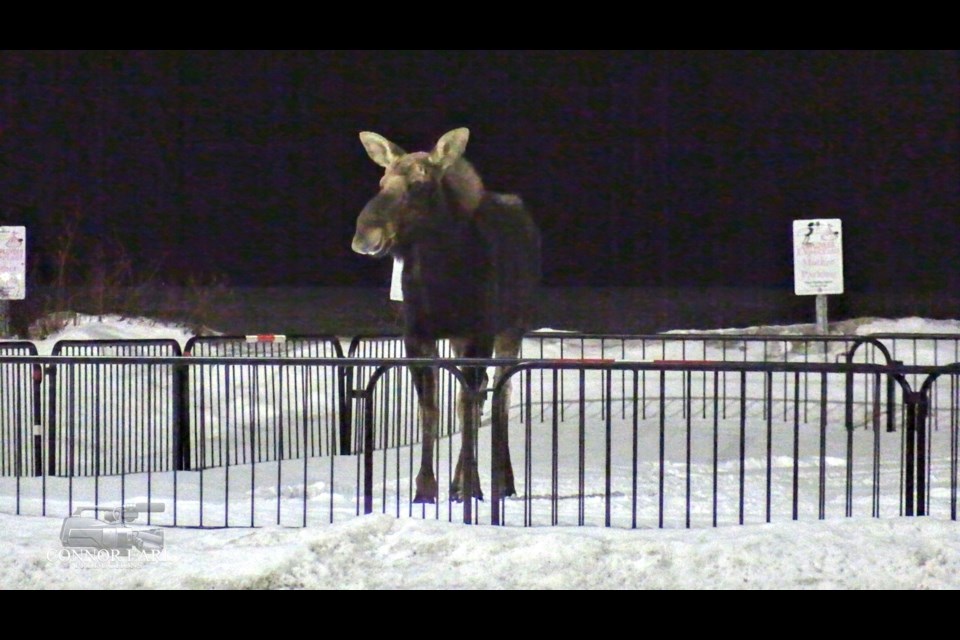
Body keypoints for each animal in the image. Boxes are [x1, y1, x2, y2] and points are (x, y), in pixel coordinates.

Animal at [350, 127, 540, 502]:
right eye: (382, 181)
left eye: (418, 184)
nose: (365, 235)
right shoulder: (417, 337)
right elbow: (432, 408)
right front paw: (426, 488)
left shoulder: (478, 335)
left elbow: (468, 404)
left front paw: (470, 485)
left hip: (511, 329)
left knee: (500, 395)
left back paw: (502, 480)